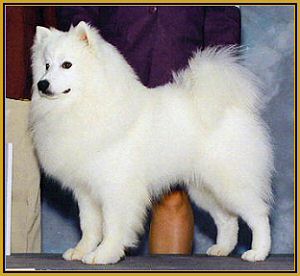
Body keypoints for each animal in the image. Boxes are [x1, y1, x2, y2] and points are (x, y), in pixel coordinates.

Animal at [29, 22, 274, 266]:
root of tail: (232, 104)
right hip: (205, 189)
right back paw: (222, 249)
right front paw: (81, 251)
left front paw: (104, 254)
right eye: (47, 65)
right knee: (227, 218)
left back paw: (258, 252)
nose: (42, 84)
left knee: (258, 215)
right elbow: (89, 226)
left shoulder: (116, 188)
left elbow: (112, 226)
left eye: (67, 65)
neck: (86, 104)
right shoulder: (86, 191)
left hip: (231, 182)